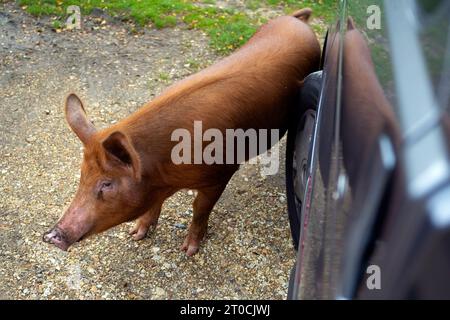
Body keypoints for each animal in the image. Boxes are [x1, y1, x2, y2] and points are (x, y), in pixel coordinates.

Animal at [44, 8, 322, 256]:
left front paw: (188, 251)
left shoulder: (220, 174)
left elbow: (199, 208)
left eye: (107, 183)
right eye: (82, 175)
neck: (166, 173)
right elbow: (155, 204)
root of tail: (296, 20)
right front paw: (136, 235)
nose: (52, 235)